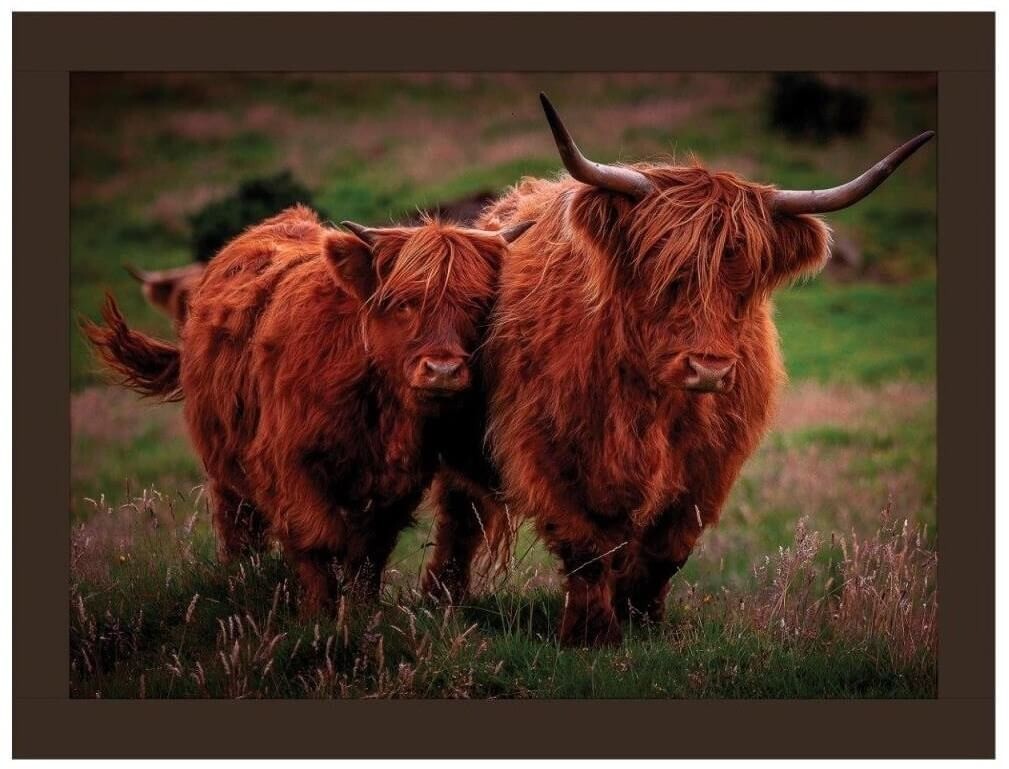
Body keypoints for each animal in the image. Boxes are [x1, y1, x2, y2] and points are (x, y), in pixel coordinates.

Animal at [84, 205, 533, 613]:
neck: (375, 404)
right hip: (223, 465)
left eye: (476, 305)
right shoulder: (291, 465)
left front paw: (362, 613)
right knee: (238, 527)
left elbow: (370, 552)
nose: (443, 371)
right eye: (404, 303)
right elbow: (318, 541)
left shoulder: (398, 483)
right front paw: (320, 616)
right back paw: (239, 580)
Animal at [434, 94, 934, 646]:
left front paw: (645, 623)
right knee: (458, 521)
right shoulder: (548, 449)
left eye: (747, 281)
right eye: (665, 271)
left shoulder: (709, 467)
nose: (709, 368)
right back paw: (440, 605)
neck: (650, 400)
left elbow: (667, 551)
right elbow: (586, 547)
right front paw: (592, 635)